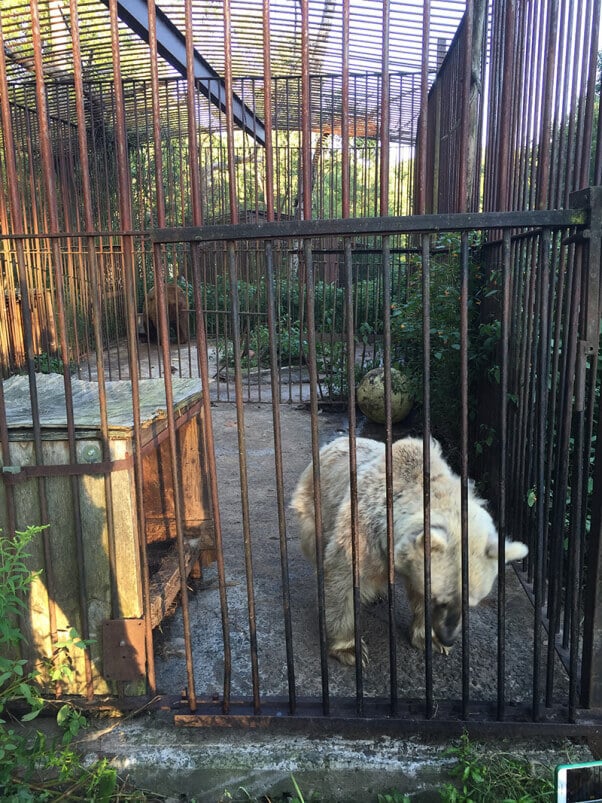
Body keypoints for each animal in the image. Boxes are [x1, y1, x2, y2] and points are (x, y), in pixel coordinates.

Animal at [288, 436, 528, 668]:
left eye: (471, 603)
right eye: (440, 599)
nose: (449, 637)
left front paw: (431, 639)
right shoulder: (364, 532)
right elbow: (342, 577)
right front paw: (350, 650)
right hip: (315, 506)